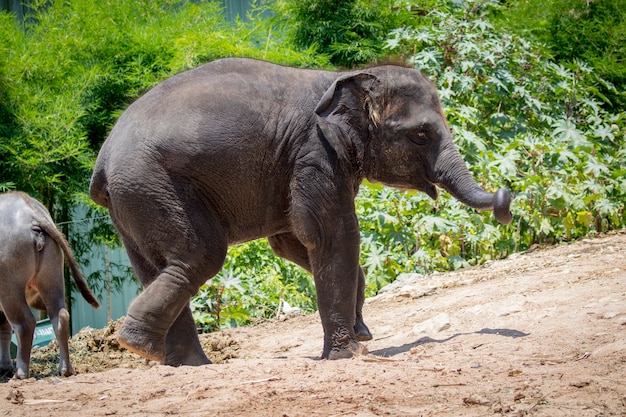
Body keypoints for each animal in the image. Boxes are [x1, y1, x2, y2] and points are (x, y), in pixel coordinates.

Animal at [0, 190, 99, 378]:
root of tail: (29, 210)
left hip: (9, 286)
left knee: (24, 323)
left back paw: (21, 373)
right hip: (52, 276)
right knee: (60, 316)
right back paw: (65, 369)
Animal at [90, 57, 510, 364]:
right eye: (421, 134)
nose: (505, 199)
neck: (343, 76)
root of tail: (104, 160)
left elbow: (292, 244)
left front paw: (361, 332)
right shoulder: (315, 151)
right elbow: (332, 236)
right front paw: (349, 354)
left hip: (134, 198)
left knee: (152, 267)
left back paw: (186, 364)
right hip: (152, 184)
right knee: (199, 256)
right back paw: (138, 345)